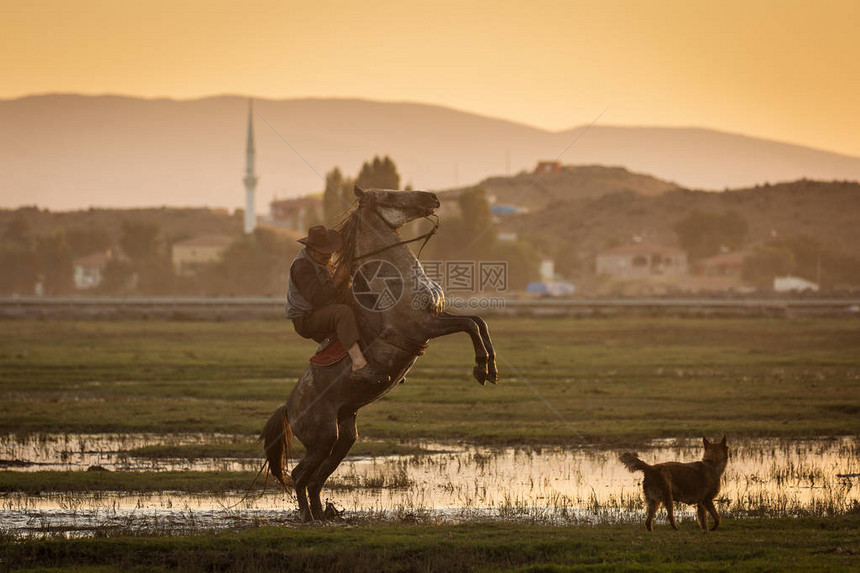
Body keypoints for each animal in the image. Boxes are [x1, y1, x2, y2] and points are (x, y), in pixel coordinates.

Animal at [262, 185, 498, 520]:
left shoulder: (436, 317)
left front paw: (490, 368)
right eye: (388, 195)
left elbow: (479, 322)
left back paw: (324, 514)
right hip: (323, 437)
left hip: (344, 436)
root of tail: (289, 407)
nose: (433, 197)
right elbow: (469, 325)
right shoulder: (423, 326)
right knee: (300, 475)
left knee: (315, 478)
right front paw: (481, 368)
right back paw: (309, 516)